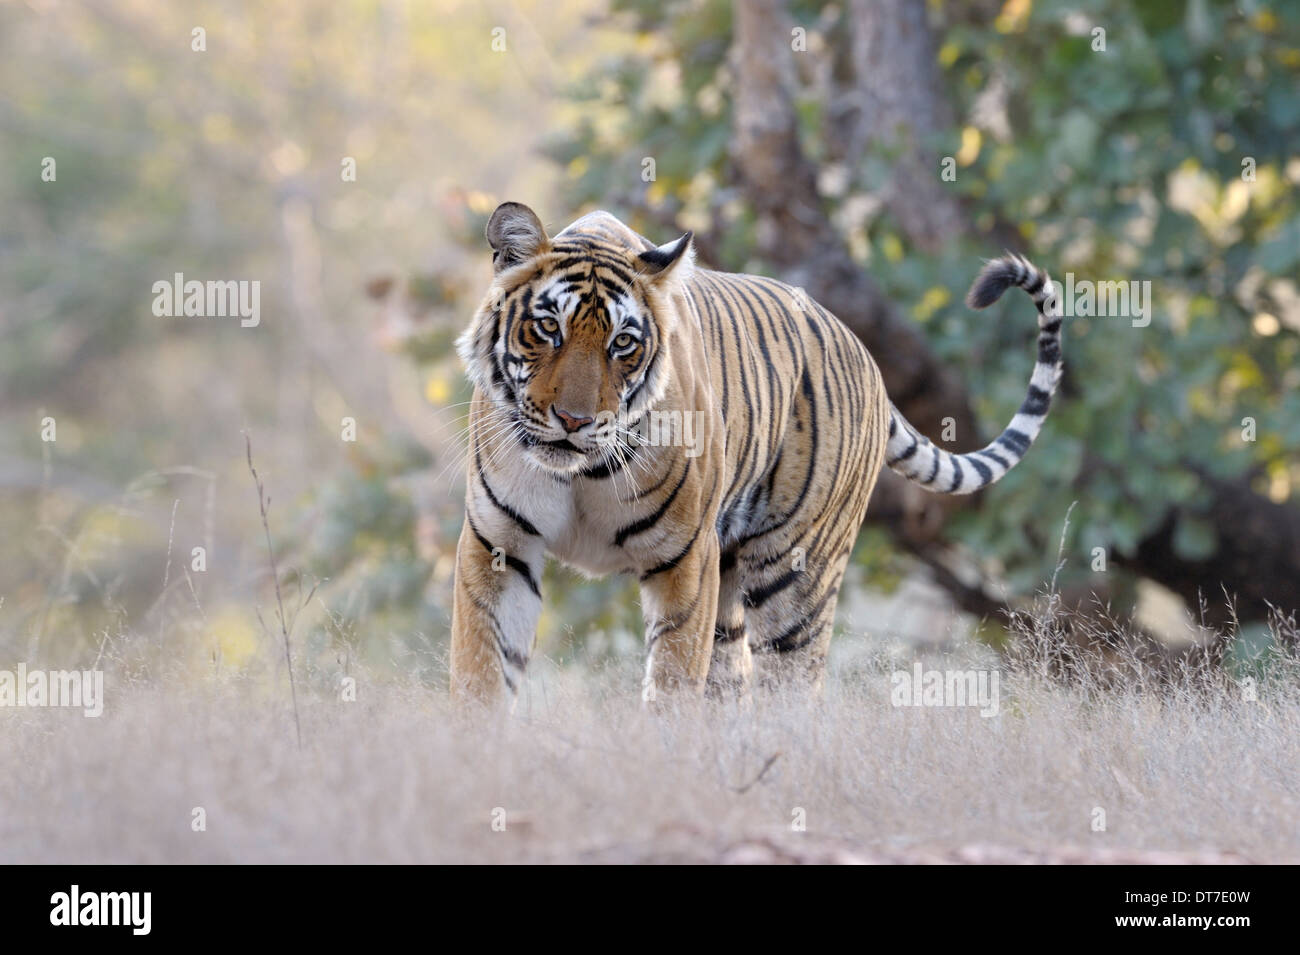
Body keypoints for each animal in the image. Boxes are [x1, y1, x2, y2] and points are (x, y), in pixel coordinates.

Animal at [452, 201, 1060, 706]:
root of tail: (867, 357)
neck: (579, 471)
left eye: (622, 343)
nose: (575, 421)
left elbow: (672, 683)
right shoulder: (499, 547)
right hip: (730, 586)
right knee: (733, 683)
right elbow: (480, 672)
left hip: (797, 577)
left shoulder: (684, 558)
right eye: (547, 327)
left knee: (792, 694)